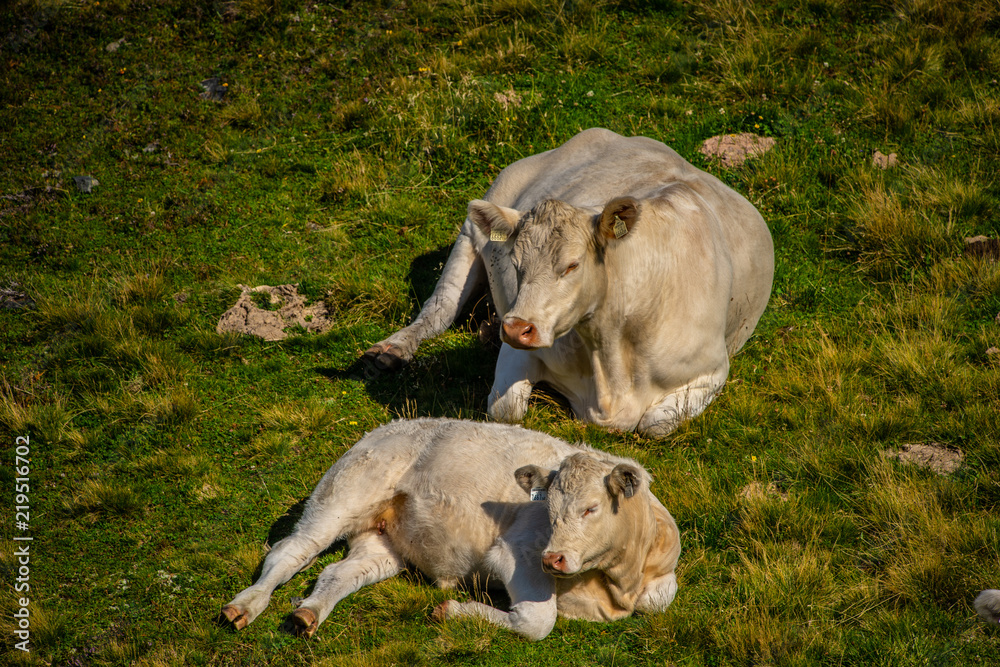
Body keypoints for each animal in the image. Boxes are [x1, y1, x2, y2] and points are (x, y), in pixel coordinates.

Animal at [220, 418, 681, 640]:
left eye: (591, 508)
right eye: (548, 510)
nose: (554, 558)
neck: (617, 580)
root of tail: (390, 425)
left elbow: (660, 599)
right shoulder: (517, 551)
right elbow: (537, 621)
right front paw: (454, 611)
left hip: (386, 544)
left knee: (338, 574)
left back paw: (308, 614)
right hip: (341, 496)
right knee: (290, 552)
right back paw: (245, 606)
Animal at [364, 128, 774, 437]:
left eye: (572, 265)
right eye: (516, 264)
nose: (515, 327)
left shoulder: (714, 370)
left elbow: (654, 423)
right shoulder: (521, 348)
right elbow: (506, 409)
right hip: (472, 231)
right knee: (439, 309)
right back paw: (390, 350)